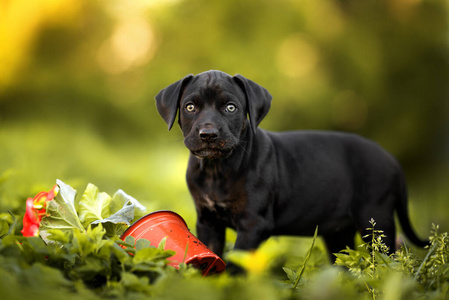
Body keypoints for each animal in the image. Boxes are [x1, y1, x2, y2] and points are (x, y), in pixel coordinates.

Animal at [155, 71, 428, 262]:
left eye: (230, 108)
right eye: (190, 107)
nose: (208, 134)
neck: (217, 169)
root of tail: (392, 160)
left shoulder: (254, 224)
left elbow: (237, 262)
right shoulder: (208, 222)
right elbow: (212, 255)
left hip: (376, 219)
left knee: (387, 263)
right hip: (339, 232)